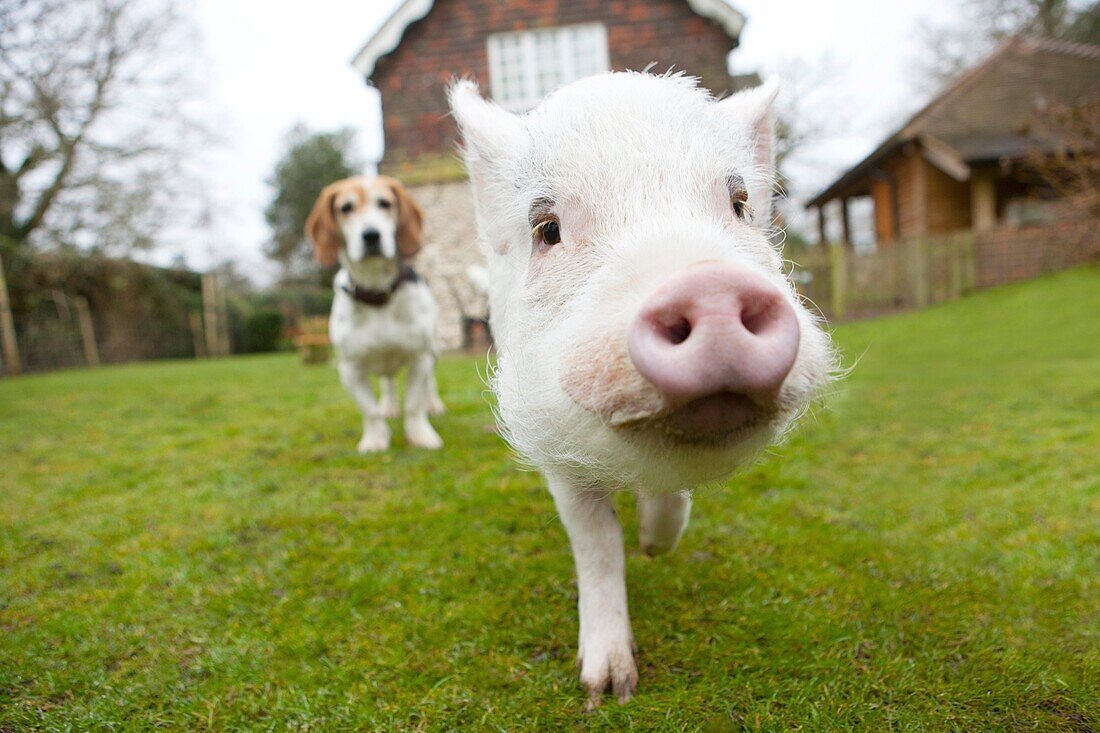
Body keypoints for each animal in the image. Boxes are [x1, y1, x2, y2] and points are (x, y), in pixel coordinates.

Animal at [305, 177, 442, 451]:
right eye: (345, 208)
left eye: (385, 203)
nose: (371, 235)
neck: (377, 293)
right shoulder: (350, 369)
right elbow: (369, 411)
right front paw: (376, 439)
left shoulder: (419, 358)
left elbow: (414, 404)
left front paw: (420, 435)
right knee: (388, 385)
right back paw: (389, 406)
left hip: (431, 351)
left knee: (429, 384)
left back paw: (433, 404)